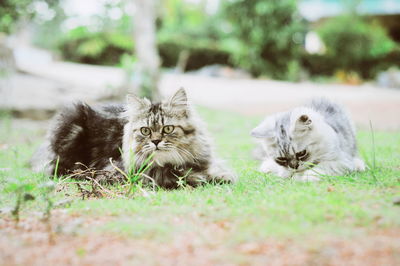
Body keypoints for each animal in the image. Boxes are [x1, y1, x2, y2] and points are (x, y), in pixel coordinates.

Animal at [32, 89, 238, 189]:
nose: (156, 142)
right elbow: (188, 178)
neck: (170, 164)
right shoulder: (115, 173)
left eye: (168, 129)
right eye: (145, 131)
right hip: (70, 120)